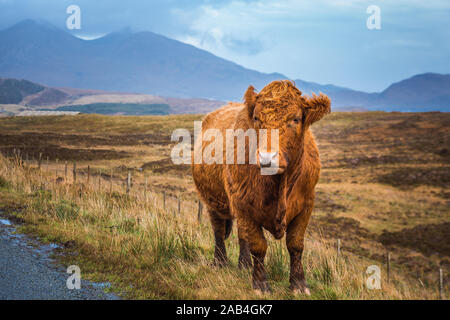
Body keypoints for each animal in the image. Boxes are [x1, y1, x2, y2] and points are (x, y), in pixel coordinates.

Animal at [191, 80, 330, 296]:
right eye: (256, 118)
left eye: (296, 118)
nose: (267, 157)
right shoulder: (243, 205)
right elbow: (258, 246)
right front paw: (260, 284)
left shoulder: (306, 205)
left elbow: (295, 244)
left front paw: (299, 284)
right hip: (212, 201)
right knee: (218, 230)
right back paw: (220, 262)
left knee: (241, 236)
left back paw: (244, 264)